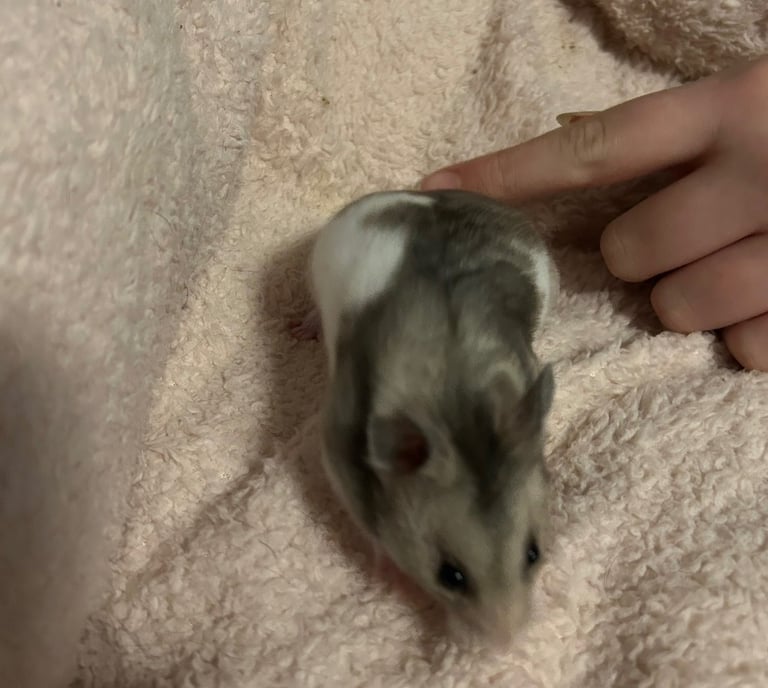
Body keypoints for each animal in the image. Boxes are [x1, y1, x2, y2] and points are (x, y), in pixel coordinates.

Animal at [305, 189, 558, 644]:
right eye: (450, 576)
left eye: (533, 553)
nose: (506, 643)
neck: (458, 406)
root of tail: (426, 195)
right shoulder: (336, 453)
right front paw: (383, 575)